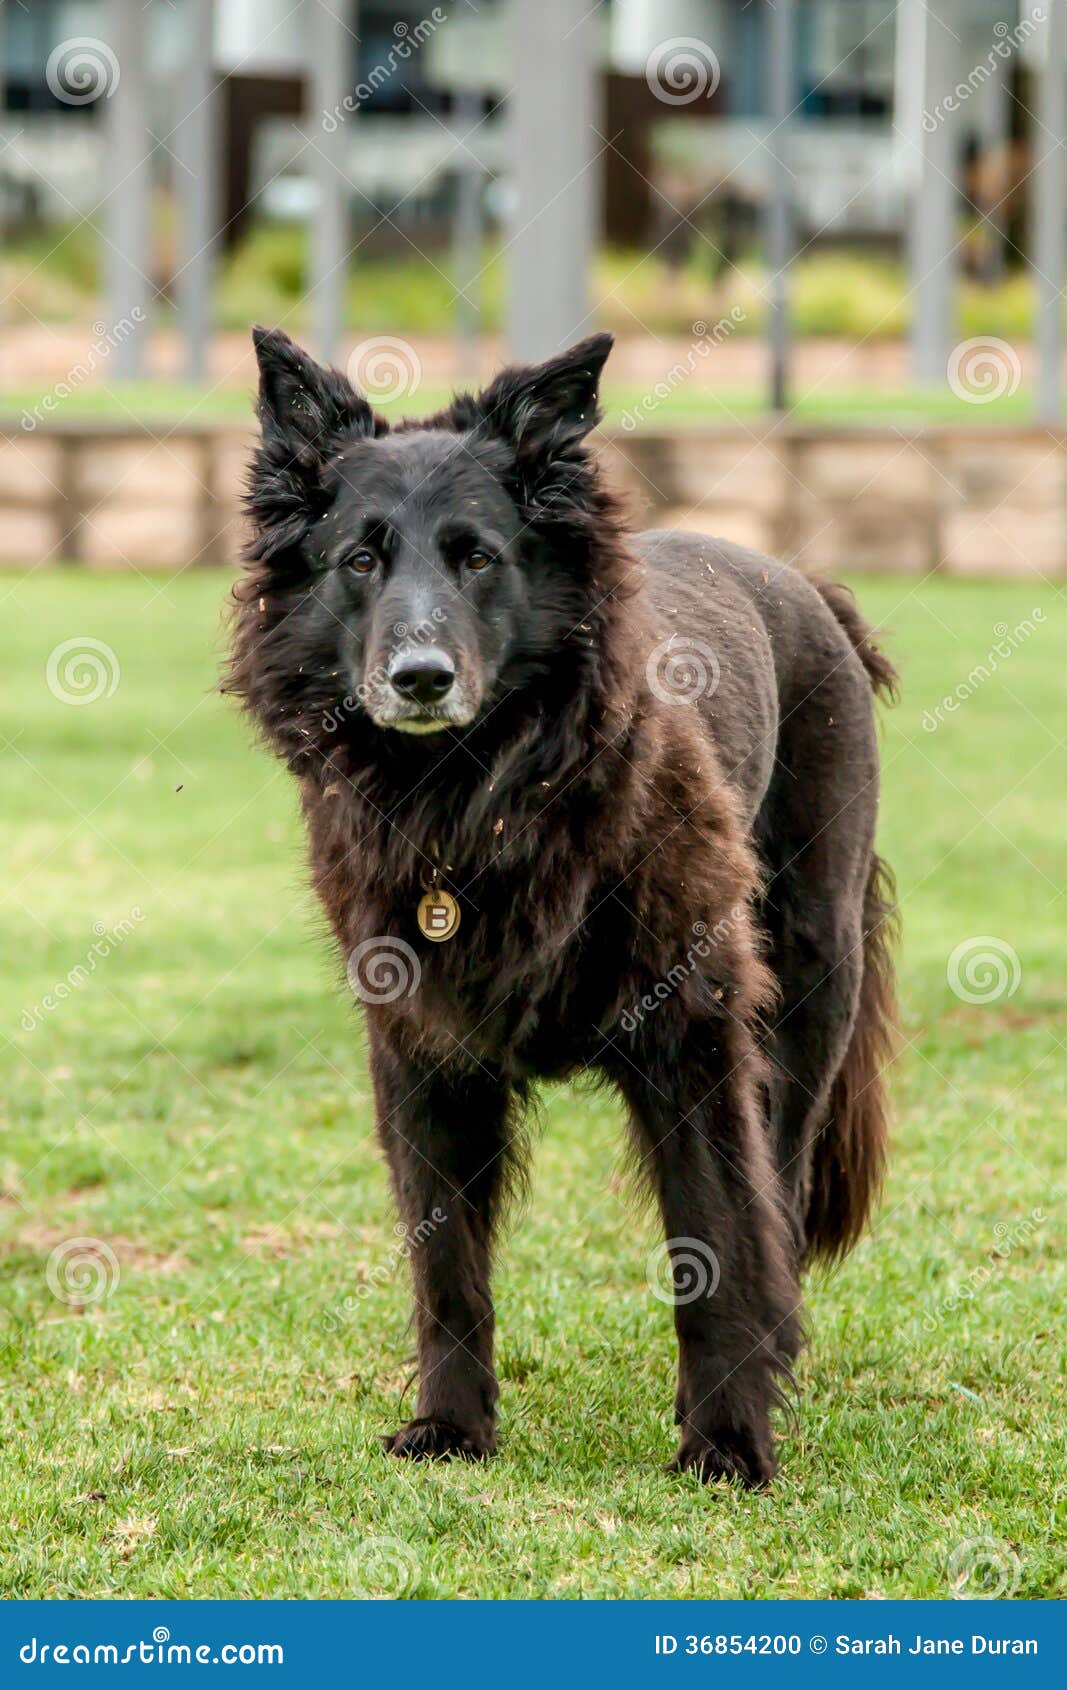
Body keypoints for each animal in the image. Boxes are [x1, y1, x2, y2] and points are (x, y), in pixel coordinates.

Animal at [229, 322, 899, 1487]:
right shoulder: (422, 1057)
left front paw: (726, 1440)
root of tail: (809, 586)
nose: (419, 677)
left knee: (776, 1190)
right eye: (359, 560)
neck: (470, 796)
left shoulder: (693, 1040)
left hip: (811, 991)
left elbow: (717, 1247)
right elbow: (447, 1266)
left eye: (477, 557)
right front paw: (452, 1426)